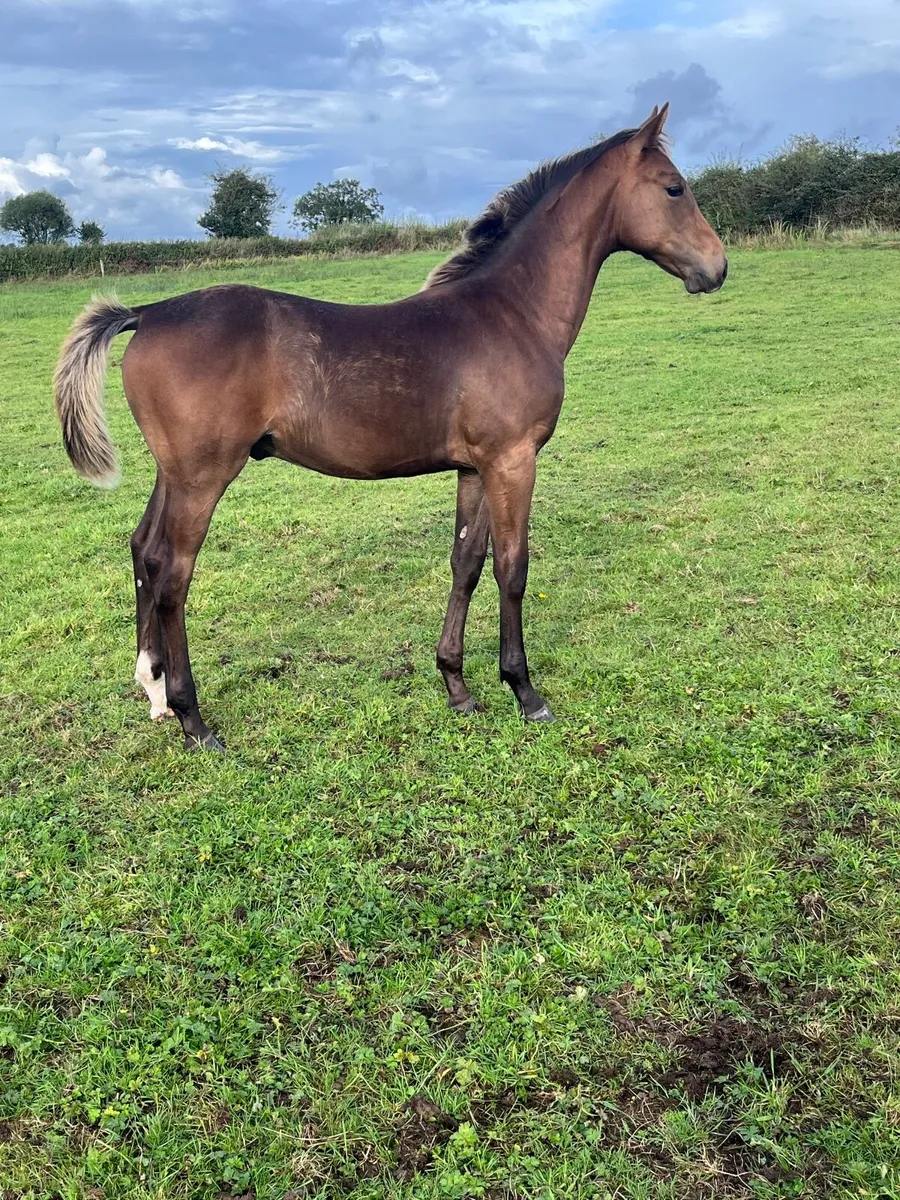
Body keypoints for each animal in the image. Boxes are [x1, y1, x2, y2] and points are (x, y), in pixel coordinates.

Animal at [54, 103, 727, 752]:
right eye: (674, 188)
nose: (717, 268)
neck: (512, 313)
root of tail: (148, 313)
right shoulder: (513, 460)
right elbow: (513, 569)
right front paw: (525, 691)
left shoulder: (474, 467)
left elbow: (467, 563)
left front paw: (457, 685)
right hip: (203, 475)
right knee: (172, 573)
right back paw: (194, 719)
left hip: (174, 472)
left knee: (143, 550)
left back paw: (156, 693)